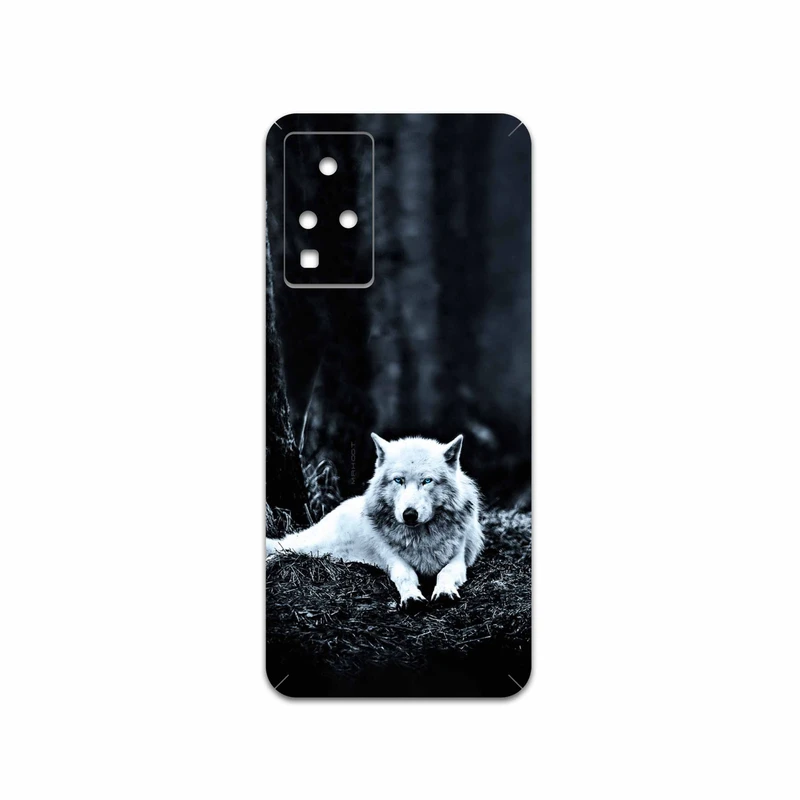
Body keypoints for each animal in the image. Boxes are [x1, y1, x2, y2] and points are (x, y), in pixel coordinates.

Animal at [266, 434, 483, 609]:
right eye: (398, 480)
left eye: (427, 481)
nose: (409, 514)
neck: (420, 538)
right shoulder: (392, 558)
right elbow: (405, 575)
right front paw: (411, 597)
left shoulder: (458, 559)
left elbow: (445, 573)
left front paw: (444, 592)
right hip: (313, 545)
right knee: (283, 545)